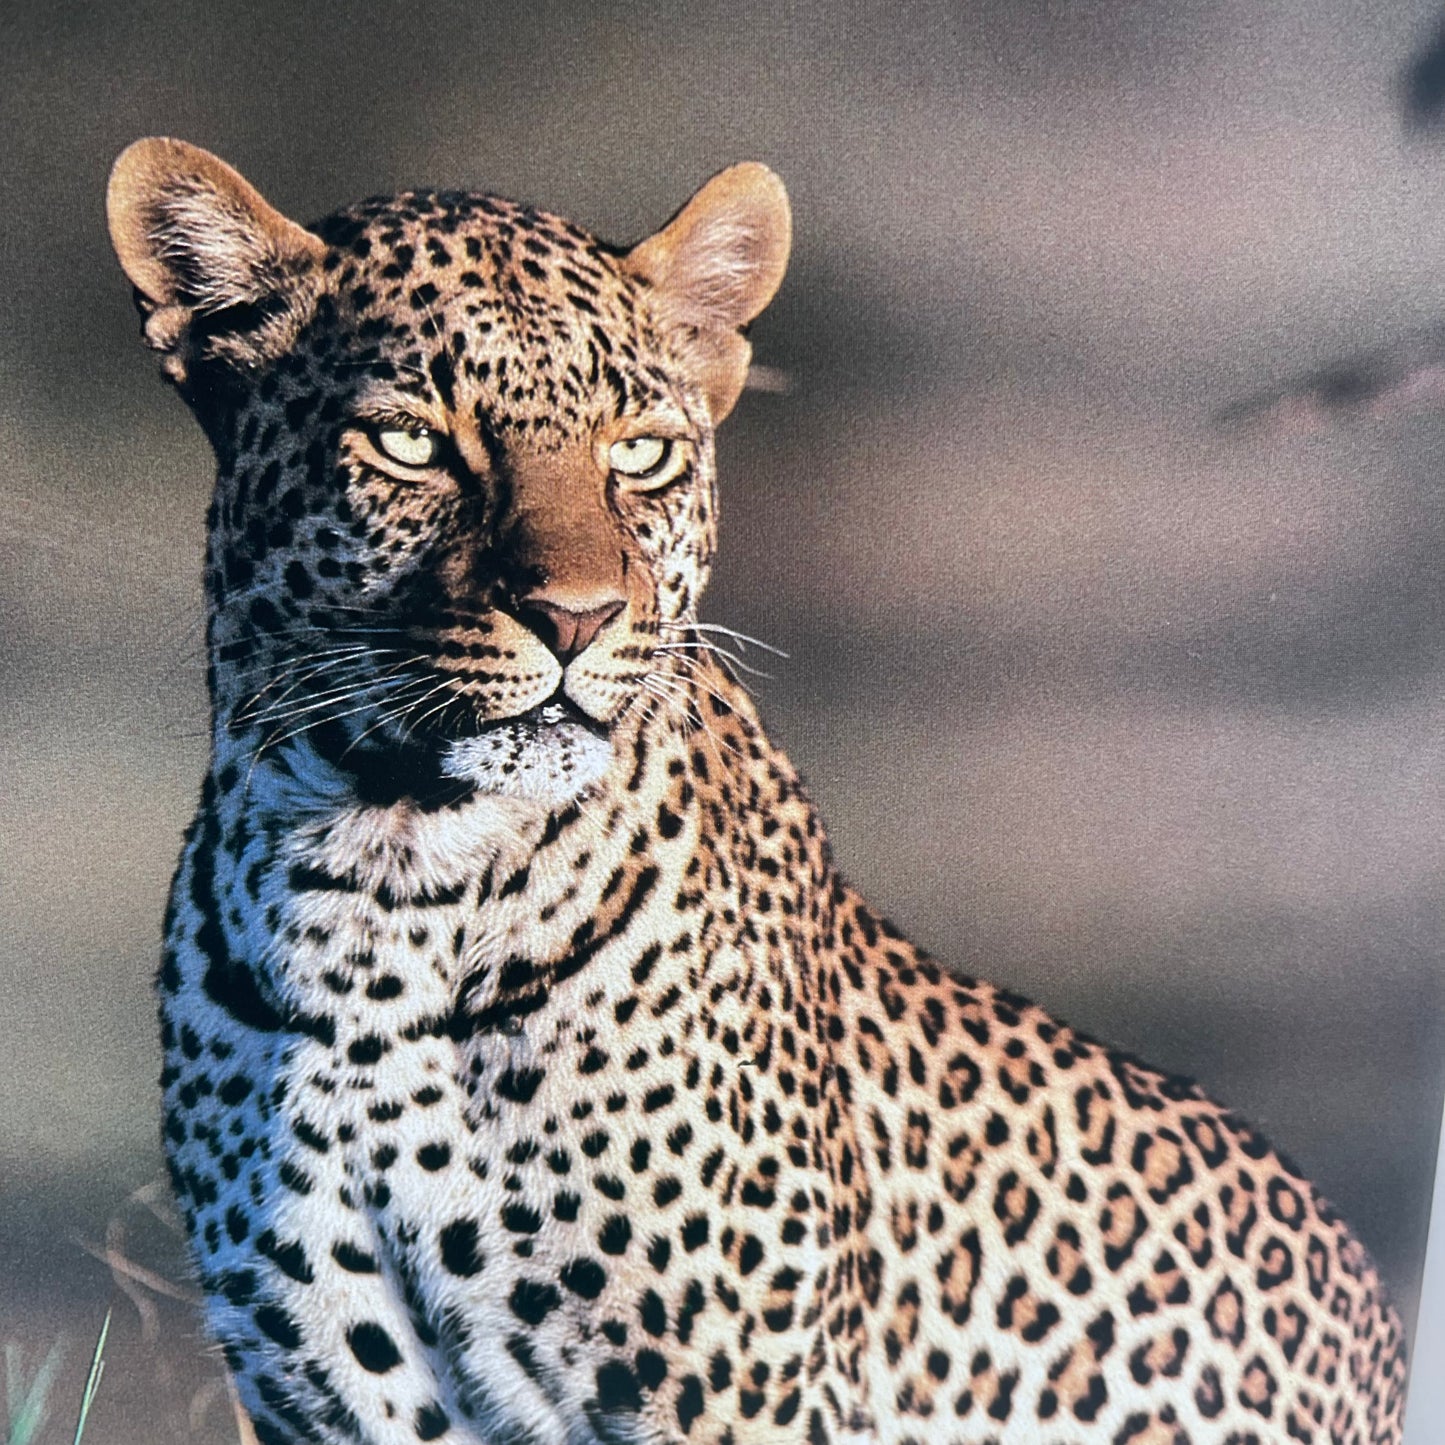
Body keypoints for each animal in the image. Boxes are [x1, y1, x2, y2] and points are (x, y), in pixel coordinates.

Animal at [107, 136, 1408, 1445]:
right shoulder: (328, 1395)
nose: (575, 617)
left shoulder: (735, 1392)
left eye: (640, 452)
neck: (385, 877)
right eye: (414, 444)